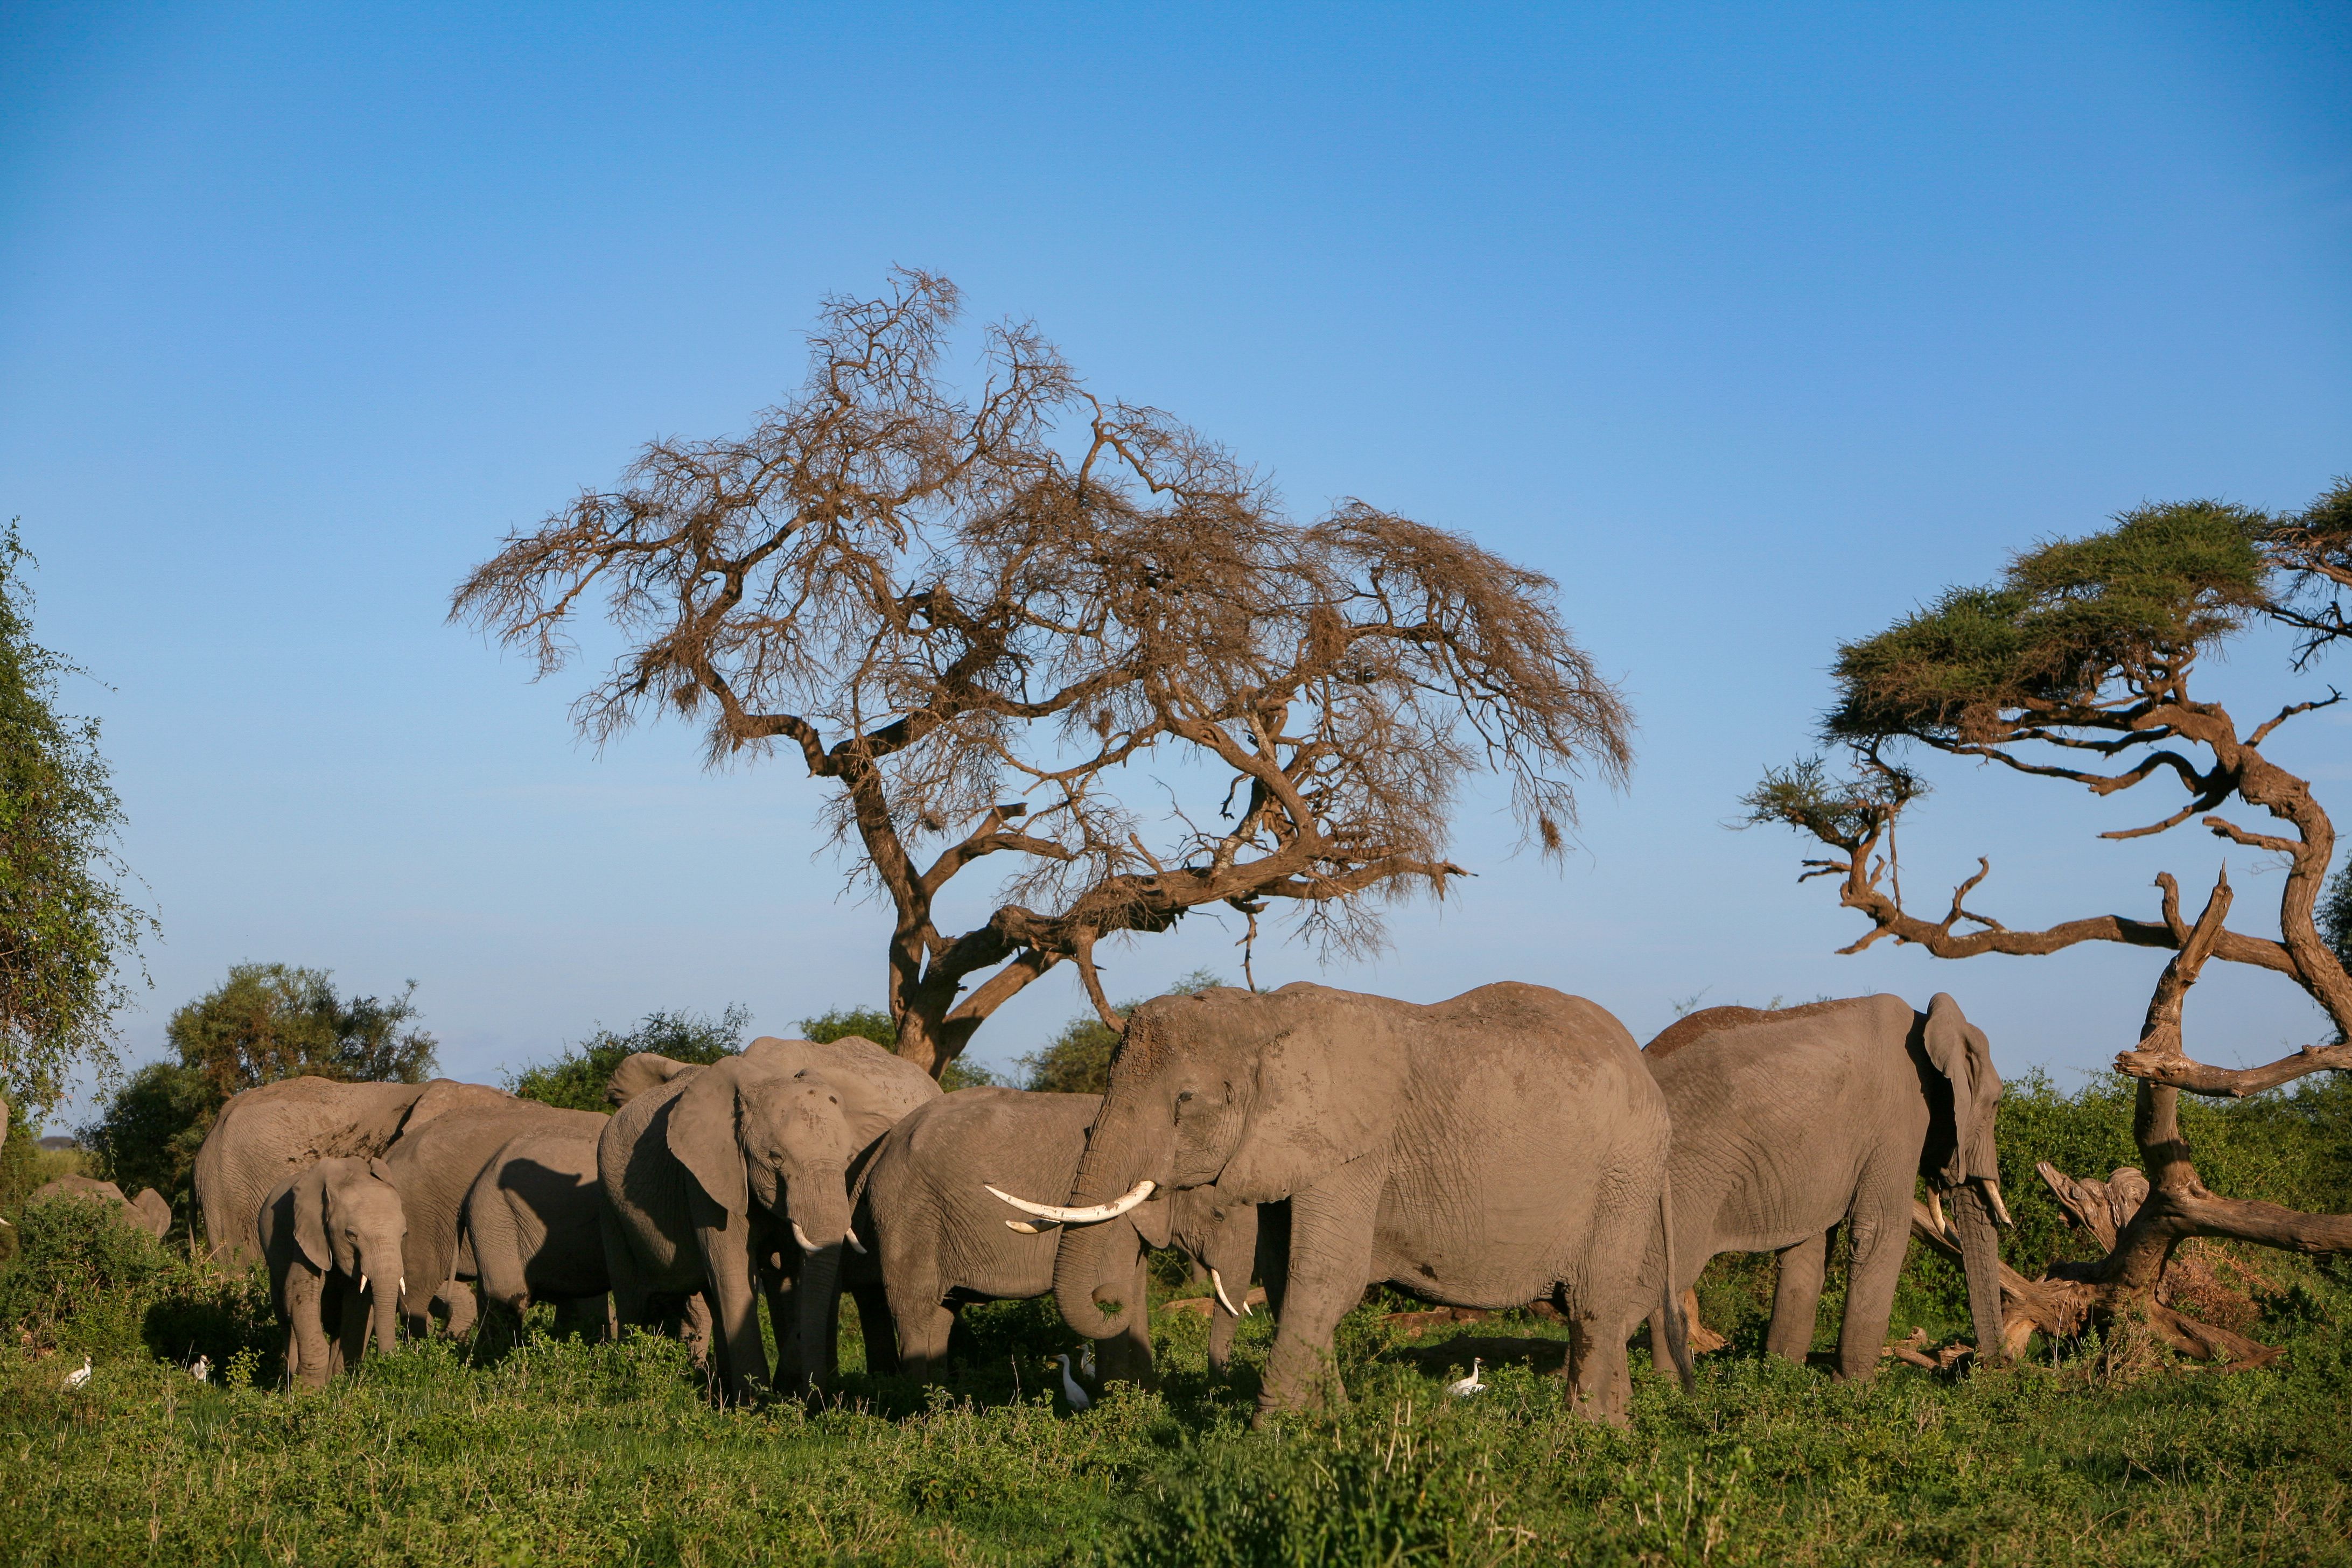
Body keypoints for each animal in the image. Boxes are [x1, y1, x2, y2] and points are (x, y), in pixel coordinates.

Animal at [256, 1157, 405, 1386]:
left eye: (404, 1234)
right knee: (285, 1315)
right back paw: (291, 1378)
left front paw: (340, 1383)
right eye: (351, 1235)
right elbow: (300, 1297)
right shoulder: (306, 1234)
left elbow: (358, 1307)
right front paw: (309, 1389)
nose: (392, 1364)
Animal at [598, 1036, 939, 1402]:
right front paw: (756, 1403)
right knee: (632, 1295)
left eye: (849, 1156)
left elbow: (793, 1272)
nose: (814, 1400)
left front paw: (788, 1394)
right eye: (775, 1158)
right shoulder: (708, 1172)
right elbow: (732, 1268)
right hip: (610, 1206)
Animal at [1013, 982, 1677, 1425]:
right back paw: (1619, 1433)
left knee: (1593, 1301)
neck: (1266, 1016)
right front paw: (1329, 1428)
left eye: (1185, 1099)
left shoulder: (1354, 1149)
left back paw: (1582, 1439)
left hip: (1624, 1172)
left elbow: (1326, 1275)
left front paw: (1269, 1444)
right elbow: (1287, 1279)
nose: (1110, 1298)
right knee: (1598, 1308)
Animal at [1640, 993, 2009, 1379]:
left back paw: (1665, 1384)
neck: (1929, 1026)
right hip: (1688, 1170)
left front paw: (1784, 1375)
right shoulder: (1899, 1120)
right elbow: (1881, 1230)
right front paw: (1852, 1387)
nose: (1984, 1365)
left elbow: (1808, 1246)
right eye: (1996, 1103)